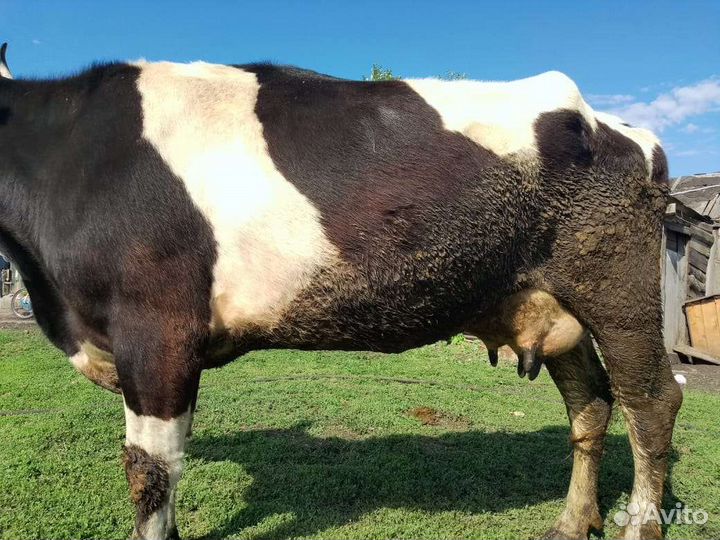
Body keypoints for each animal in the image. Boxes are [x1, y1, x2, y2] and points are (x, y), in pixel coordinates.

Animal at [0, 43, 681, 540]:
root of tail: (621, 128)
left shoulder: (156, 327)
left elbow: (151, 474)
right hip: (552, 298)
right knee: (591, 404)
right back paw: (572, 523)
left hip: (617, 289)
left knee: (650, 402)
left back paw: (639, 526)